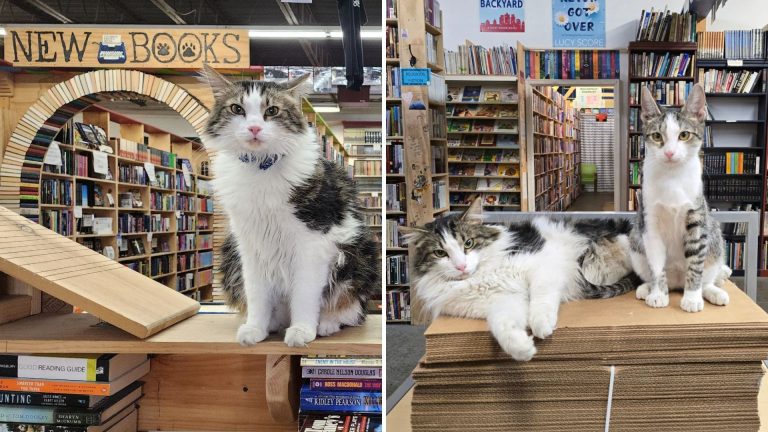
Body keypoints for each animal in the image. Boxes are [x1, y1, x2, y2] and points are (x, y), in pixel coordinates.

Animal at [198, 65, 378, 348]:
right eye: (237, 109)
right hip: (230, 256)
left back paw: (325, 324)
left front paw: (302, 330)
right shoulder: (249, 245)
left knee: (348, 309)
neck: (260, 167)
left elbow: (305, 294)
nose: (254, 128)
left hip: (355, 256)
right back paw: (273, 323)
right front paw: (256, 328)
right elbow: (256, 294)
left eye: (272, 111)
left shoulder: (312, 242)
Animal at [402, 199, 640, 362]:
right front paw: (522, 348)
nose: (461, 266)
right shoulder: (501, 301)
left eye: (468, 243)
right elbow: (501, 324)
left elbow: (540, 299)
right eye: (440, 253)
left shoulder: (544, 265)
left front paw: (541, 325)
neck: (484, 273)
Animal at [632, 85, 732, 314]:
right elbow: (656, 263)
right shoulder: (649, 221)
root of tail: (677, 283)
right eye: (657, 136)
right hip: (635, 240)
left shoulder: (697, 217)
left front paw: (692, 298)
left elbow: (695, 264)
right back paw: (646, 288)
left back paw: (713, 291)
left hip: (714, 236)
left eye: (684, 135)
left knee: (708, 274)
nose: (669, 152)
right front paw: (658, 294)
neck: (672, 178)